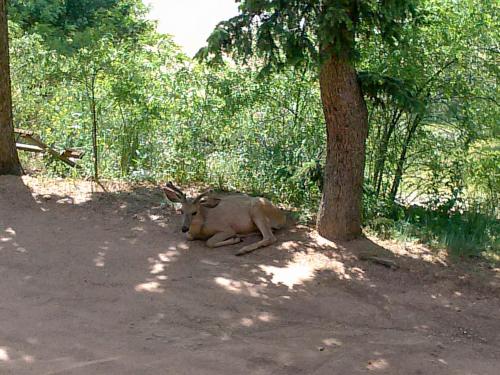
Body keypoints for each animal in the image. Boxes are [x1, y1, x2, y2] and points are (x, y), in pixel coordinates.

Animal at [162, 181, 292, 256]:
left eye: (195, 212)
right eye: (181, 211)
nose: (184, 228)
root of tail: (282, 216)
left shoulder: (227, 229)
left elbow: (209, 242)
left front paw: (235, 239)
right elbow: (189, 237)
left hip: (257, 208)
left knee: (270, 237)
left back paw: (242, 250)